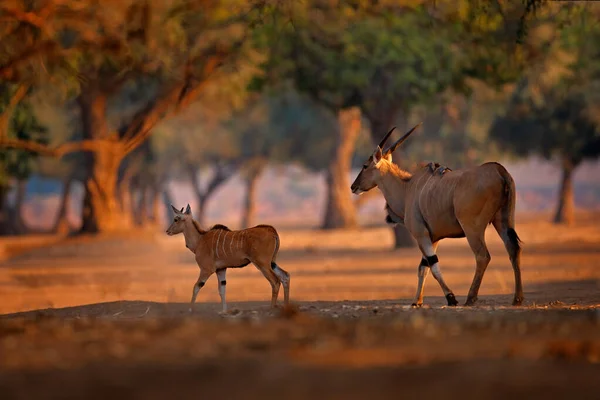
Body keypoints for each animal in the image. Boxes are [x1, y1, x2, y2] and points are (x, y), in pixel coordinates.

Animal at [350, 125, 524, 306]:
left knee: (483, 256)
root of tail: (499, 171)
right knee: (513, 249)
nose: (353, 186)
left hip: (472, 229)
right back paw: (517, 298)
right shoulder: (433, 238)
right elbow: (423, 268)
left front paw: (451, 298)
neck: (408, 188)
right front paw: (417, 301)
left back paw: (471, 298)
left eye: (365, 165)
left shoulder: (422, 235)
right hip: (503, 222)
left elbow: (433, 267)